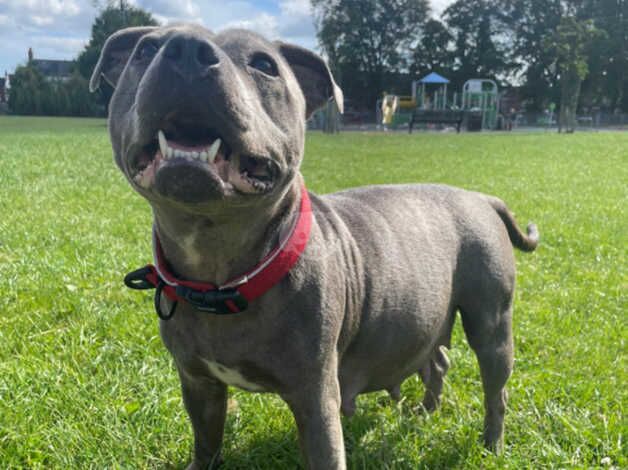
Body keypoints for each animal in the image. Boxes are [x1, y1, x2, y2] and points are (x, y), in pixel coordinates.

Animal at [92, 24, 540, 466]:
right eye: (145, 50)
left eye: (264, 65)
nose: (186, 50)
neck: (222, 275)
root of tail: (480, 197)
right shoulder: (199, 385)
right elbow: (206, 444)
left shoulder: (316, 398)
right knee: (438, 361)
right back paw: (425, 412)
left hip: (491, 323)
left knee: (495, 390)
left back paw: (492, 445)